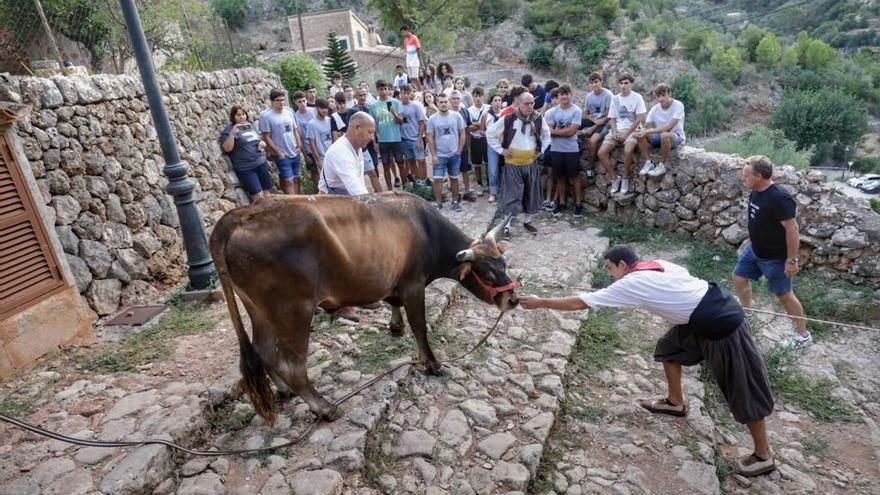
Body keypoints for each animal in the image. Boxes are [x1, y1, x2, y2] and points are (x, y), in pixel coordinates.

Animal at [210, 192, 520, 424]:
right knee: (291, 364)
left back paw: (285, 391)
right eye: (488, 274)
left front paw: (395, 326)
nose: (512, 300)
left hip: (259, 310)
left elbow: (394, 306)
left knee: (264, 352)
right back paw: (325, 408)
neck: (427, 230)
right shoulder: (413, 284)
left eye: (504, 264)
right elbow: (420, 327)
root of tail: (246, 211)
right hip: (292, 310)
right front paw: (432, 363)